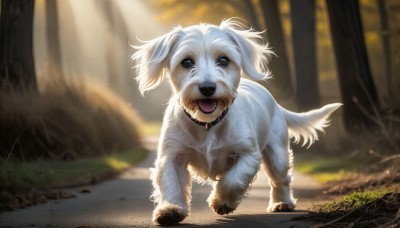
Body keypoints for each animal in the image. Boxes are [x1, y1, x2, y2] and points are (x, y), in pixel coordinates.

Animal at [132, 19, 340, 224]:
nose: (207, 88)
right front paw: (171, 209)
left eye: (223, 60)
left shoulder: (248, 154)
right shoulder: (171, 155)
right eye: (187, 62)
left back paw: (282, 202)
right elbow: (172, 184)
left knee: (281, 179)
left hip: (277, 155)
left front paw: (221, 201)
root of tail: (276, 103)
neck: (208, 124)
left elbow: (233, 179)